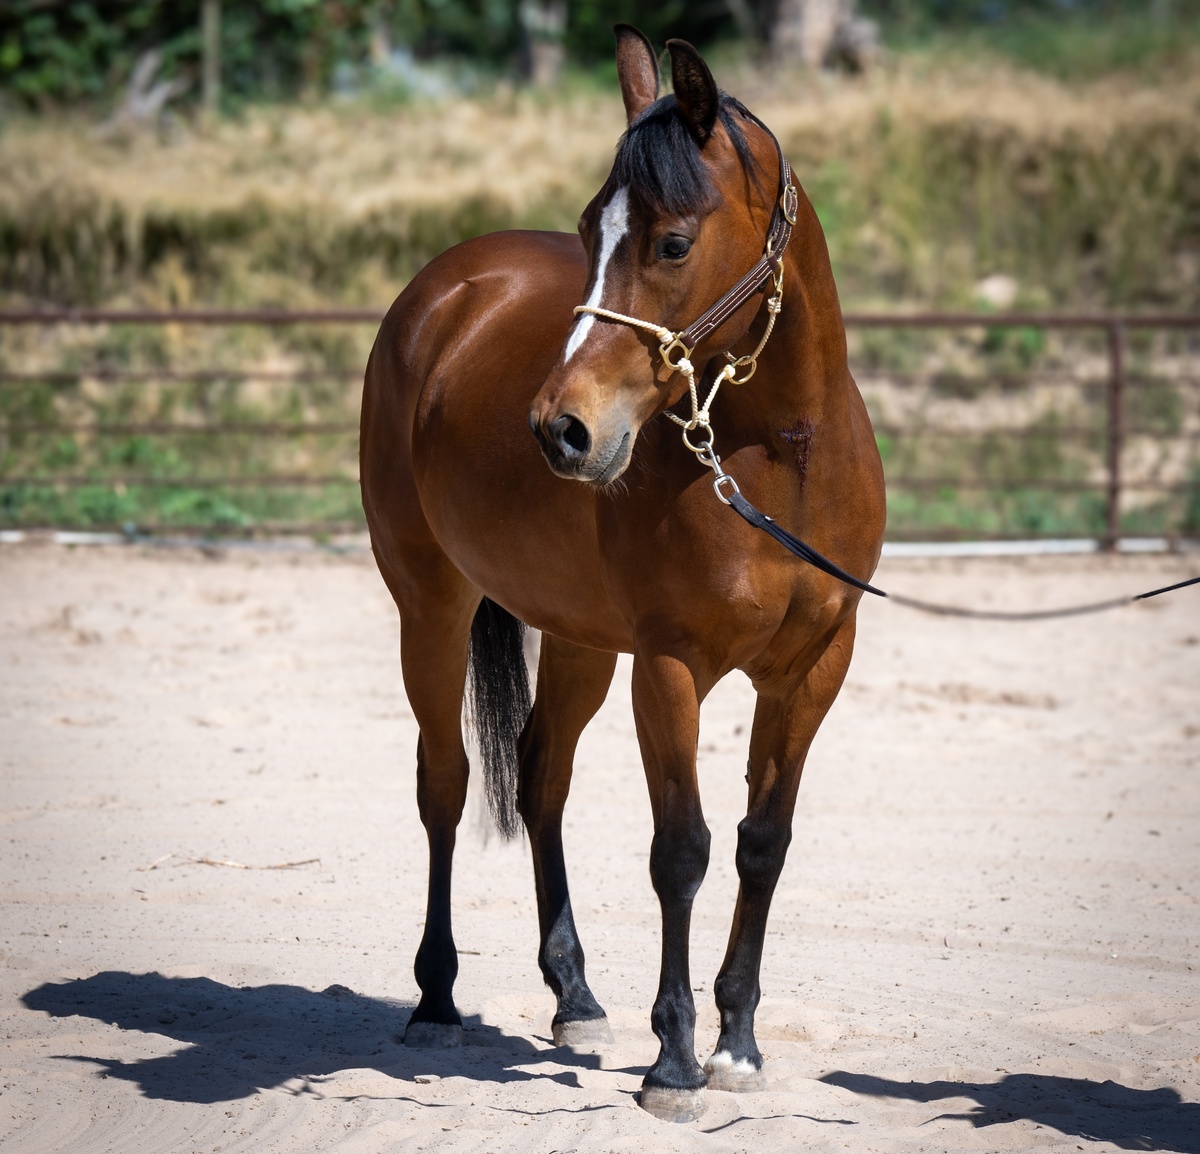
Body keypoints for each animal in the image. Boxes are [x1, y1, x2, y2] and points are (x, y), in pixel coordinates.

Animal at [359, 25, 886, 1123]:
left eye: (673, 243)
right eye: (586, 229)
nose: (561, 428)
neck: (781, 455)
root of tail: (445, 287)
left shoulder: (814, 667)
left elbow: (763, 839)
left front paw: (737, 1044)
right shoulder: (671, 667)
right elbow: (680, 850)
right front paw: (674, 1062)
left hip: (578, 638)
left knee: (541, 775)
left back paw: (576, 995)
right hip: (430, 604)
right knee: (447, 782)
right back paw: (436, 997)